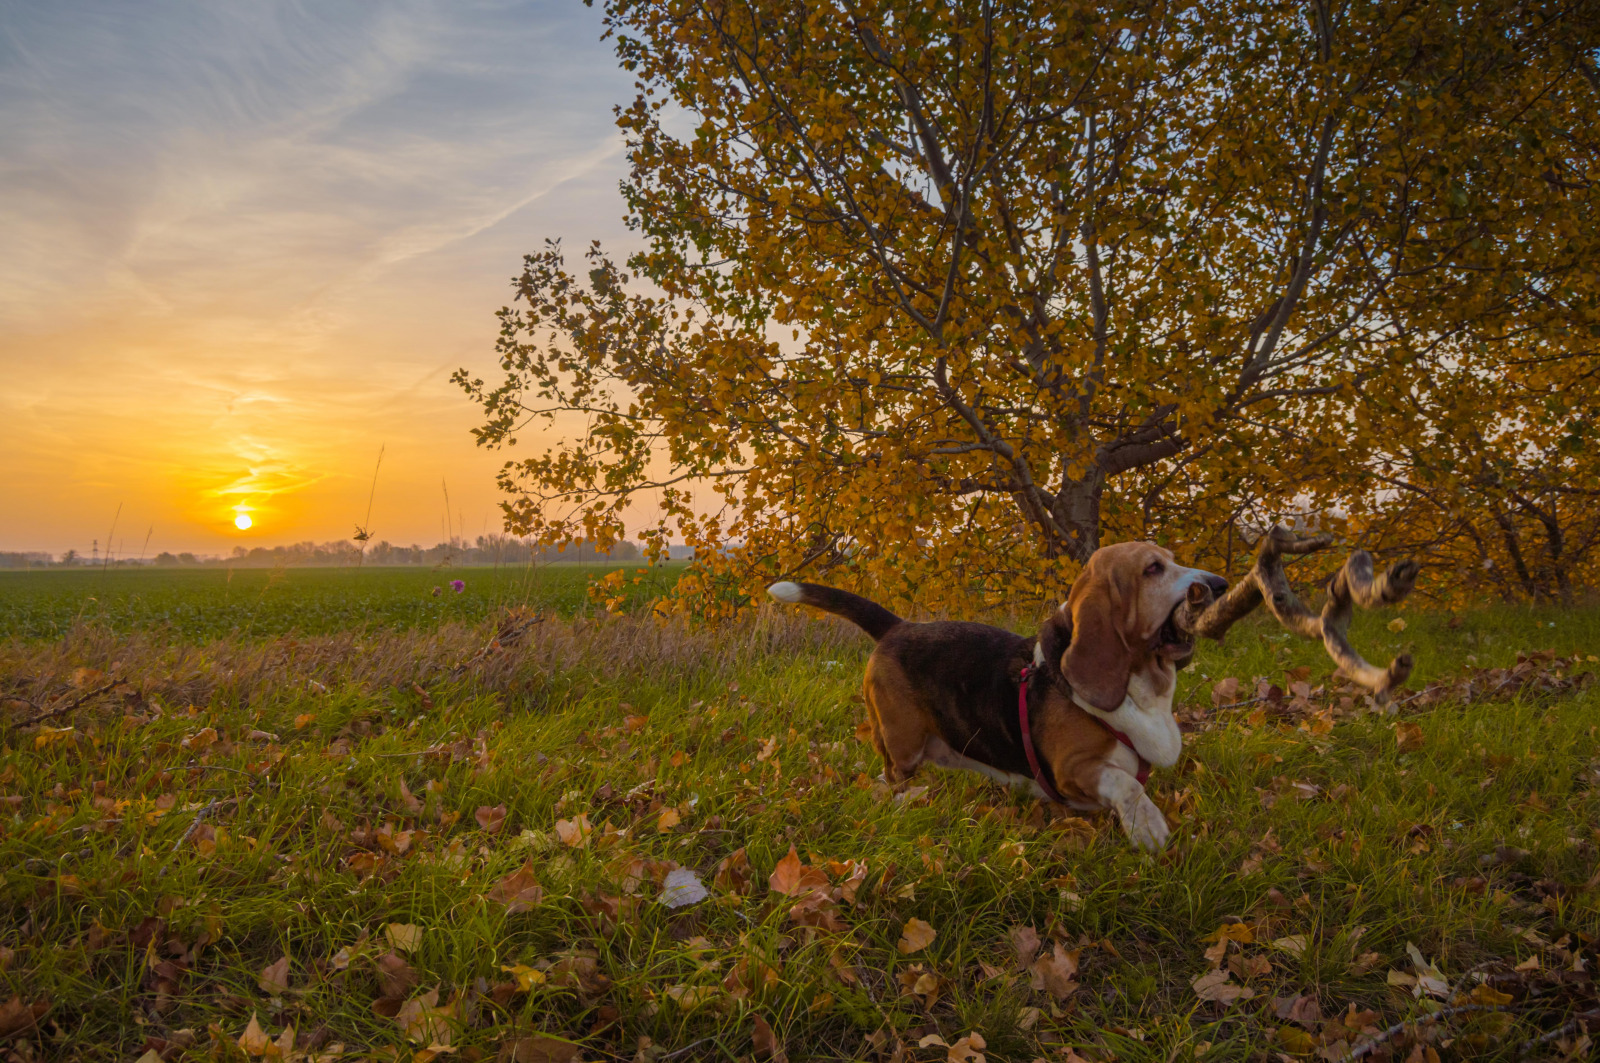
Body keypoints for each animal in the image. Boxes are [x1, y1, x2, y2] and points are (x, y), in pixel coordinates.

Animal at [768, 544, 1228, 851]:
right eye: (1153, 568)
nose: (1221, 584)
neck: (1141, 686)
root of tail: (899, 626)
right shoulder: (1073, 769)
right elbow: (1126, 783)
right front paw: (1148, 826)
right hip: (903, 745)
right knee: (890, 774)